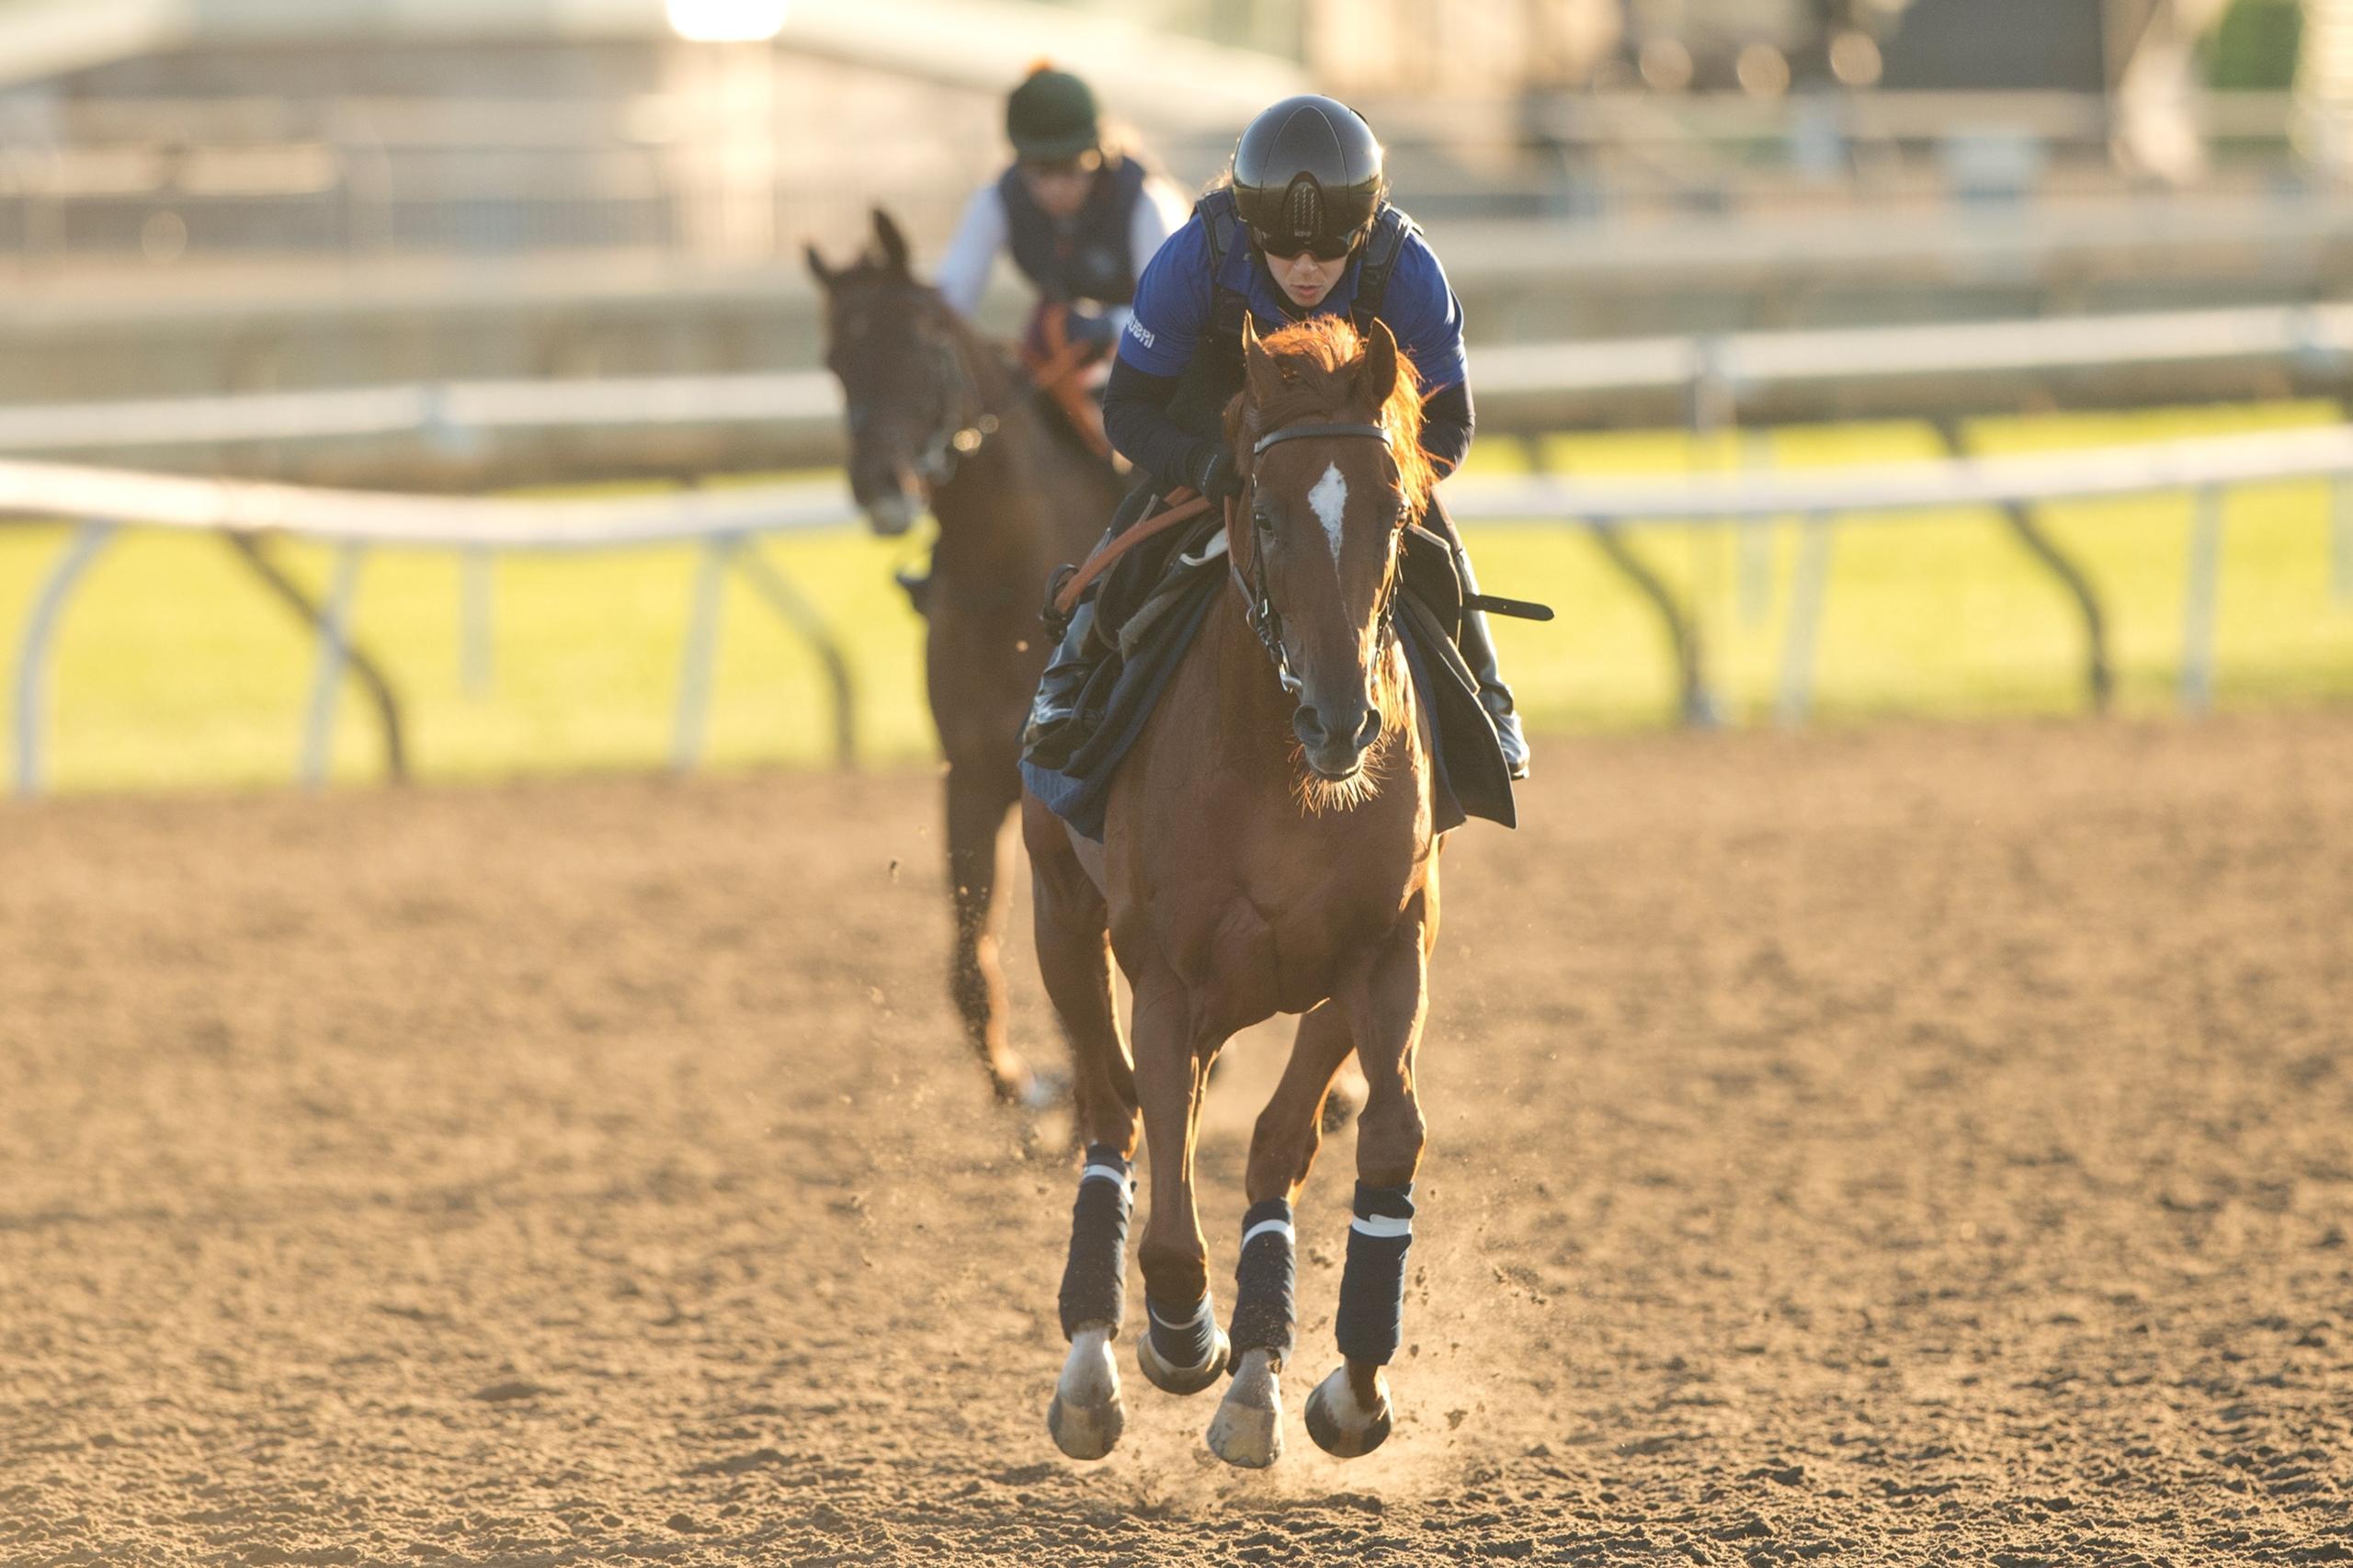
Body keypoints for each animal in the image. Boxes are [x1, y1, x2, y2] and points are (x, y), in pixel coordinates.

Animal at [807, 209, 1126, 1105]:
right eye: (835, 360)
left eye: (924, 343)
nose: (880, 484)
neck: (1011, 579)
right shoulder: (972, 777)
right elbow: (971, 967)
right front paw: (1026, 1088)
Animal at [1022, 312, 1446, 1468]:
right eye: (1262, 509)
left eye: (1395, 507)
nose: (1344, 717)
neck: (1282, 770)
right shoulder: (1166, 974)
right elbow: (1169, 1219)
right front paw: (1182, 1336)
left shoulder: (1383, 948)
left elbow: (1366, 1136)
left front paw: (1342, 1383)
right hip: (1059, 913)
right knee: (1113, 1109)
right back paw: (1096, 1364)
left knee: (1254, 1138)